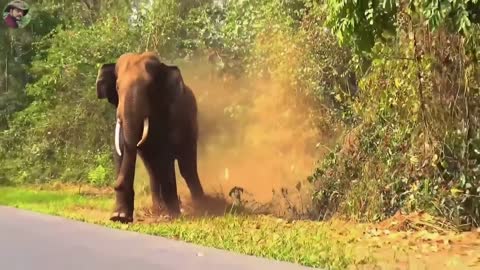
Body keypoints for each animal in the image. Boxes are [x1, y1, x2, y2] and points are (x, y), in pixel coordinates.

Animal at [95, 51, 204, 223]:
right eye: (117, 87)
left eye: (149, 87)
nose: (117, 185)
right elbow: (120, 149)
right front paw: (119, 216)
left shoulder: (170, 115)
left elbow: (165, 154)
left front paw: (172, 216)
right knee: (152, 168)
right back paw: (159, 208)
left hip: (191, 126)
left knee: (186, 167)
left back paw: (201, 206)